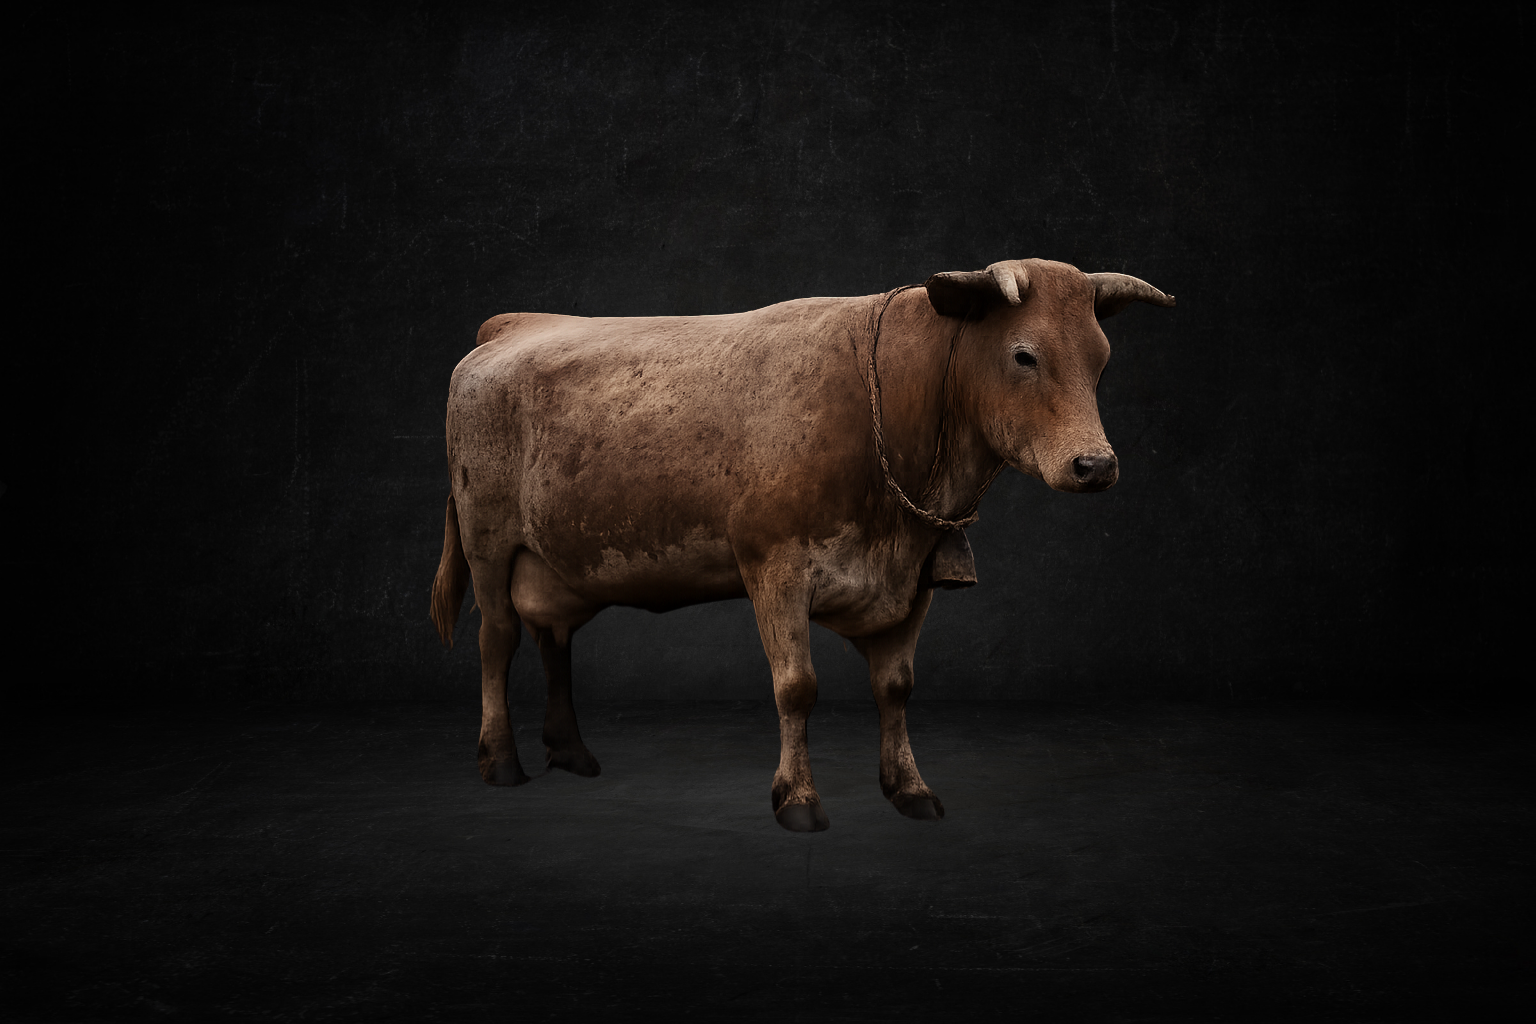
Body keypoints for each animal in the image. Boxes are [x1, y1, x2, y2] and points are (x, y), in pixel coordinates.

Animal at [430, 258, 1174, 831]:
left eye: (1101, 363)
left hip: (558, 561)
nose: (1095, 465)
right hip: (488, 541)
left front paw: (909, 789)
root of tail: (514, 324)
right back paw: (502, 761)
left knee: (554, 639)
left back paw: (571, 754)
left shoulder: (915, 581)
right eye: (1024, 355)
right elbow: (797, 687)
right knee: (497, 640)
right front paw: (798, 800)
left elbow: (896, 687)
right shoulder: (775, 565)